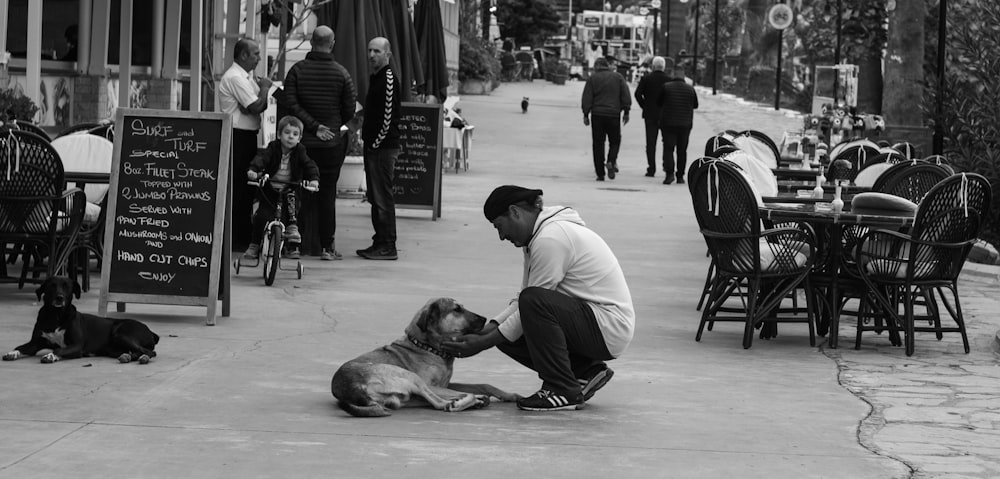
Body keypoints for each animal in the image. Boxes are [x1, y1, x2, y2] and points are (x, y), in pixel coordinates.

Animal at [2, 278, 160, 364]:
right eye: (52, 285)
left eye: (67, 286)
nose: (59, 298)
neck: (56, 316)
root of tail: (151, 331)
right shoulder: (35, 343)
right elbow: (21, 347)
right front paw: (12, 353)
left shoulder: (77, 346)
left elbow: (59, 349)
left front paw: (51, 355)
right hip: (113, 347)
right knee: (135, 351)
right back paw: (127, 356)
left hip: (121, 334)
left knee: (149, 352)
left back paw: (144, 357)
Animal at [334, 298, 524, 418]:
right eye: (457, 309)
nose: (485, 319)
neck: (429, 348)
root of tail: (352, 387)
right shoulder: (433, 385)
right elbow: (465, 392)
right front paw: (472, 399)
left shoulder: (446, 384)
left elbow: (484, 385)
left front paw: (509, 395)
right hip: (411, 378)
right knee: (443, 403)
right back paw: (465, 402)